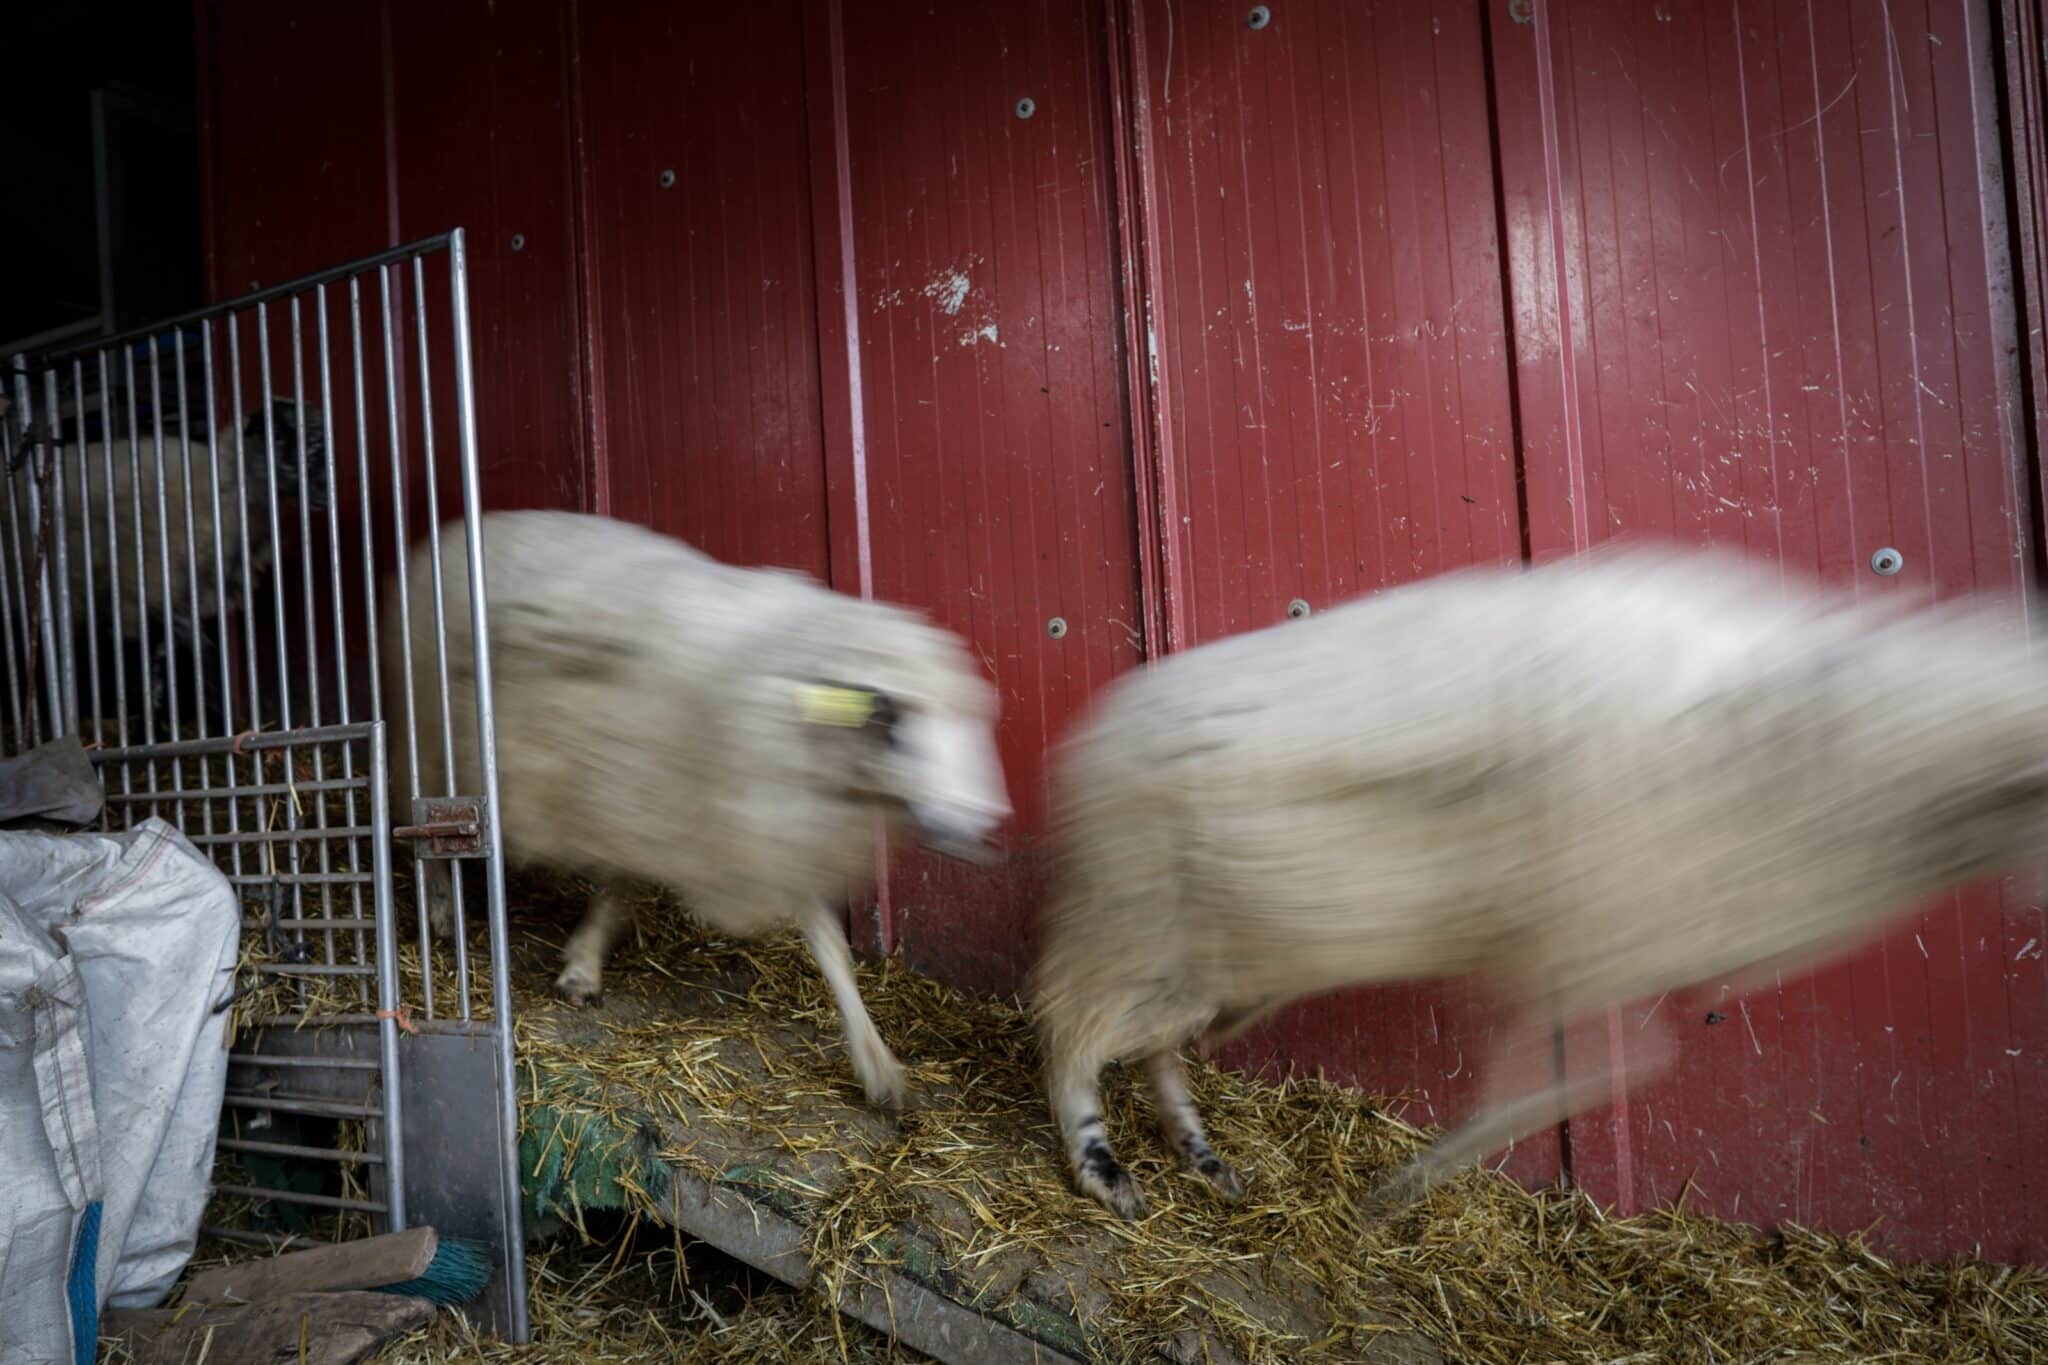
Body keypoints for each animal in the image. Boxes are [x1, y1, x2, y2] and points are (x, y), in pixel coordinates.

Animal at [391, 509, 1007, 1113]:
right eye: (890, 717)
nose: (969, 823)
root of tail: (453, 530)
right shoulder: (640, 792)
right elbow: (619, 887)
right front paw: (582, 967)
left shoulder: (774, 832)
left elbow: (831, 945)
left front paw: (877, 1064)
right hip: (428, 737)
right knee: (431, 826)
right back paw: (440, 912)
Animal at [1032, 544, 2048, 1219]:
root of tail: (1094, 734)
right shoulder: (1583, 942)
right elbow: (1569, 1076)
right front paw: (1400, 1190)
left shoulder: (1591, 950)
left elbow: (1591, 1073)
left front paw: (1404, 1186)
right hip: (1148, 924)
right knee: (1069, 1025)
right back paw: (1103, 1167)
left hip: (1218, 965)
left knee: (1155, 1046)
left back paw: (1201, 1154)